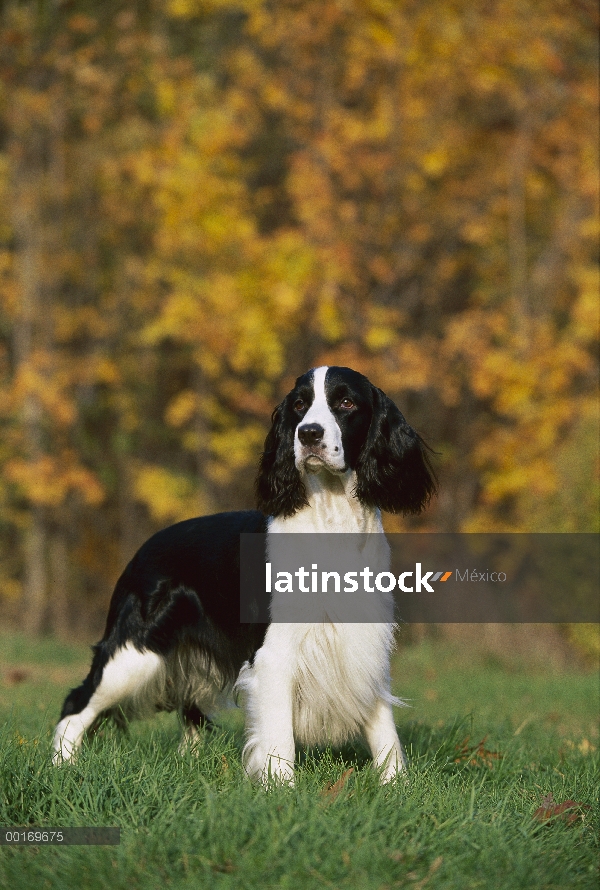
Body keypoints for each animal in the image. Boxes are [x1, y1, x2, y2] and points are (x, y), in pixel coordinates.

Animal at [52, 364, 436, 780]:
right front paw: (281, 786)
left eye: (347, 402)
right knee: (76, 703)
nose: (309, 434)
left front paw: (395, 783)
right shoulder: (275, 653)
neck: (331, 521)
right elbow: (279, 736)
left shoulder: (365, 644)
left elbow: (384, 728)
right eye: (299, 405)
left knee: (190, 716)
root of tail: (142, 549)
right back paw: (60, 767)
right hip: (132, 653)